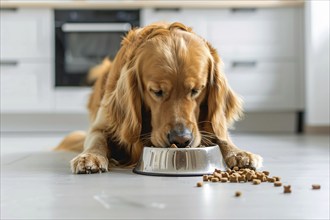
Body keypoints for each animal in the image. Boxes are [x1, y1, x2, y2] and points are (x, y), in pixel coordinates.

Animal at [56, 22, 262, 174]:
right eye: (156, 91)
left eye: (196, 90)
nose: (181, 140)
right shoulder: (102, 124)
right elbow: (96, 139)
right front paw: (90, 157)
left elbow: (221, 136)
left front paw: (239, 153)